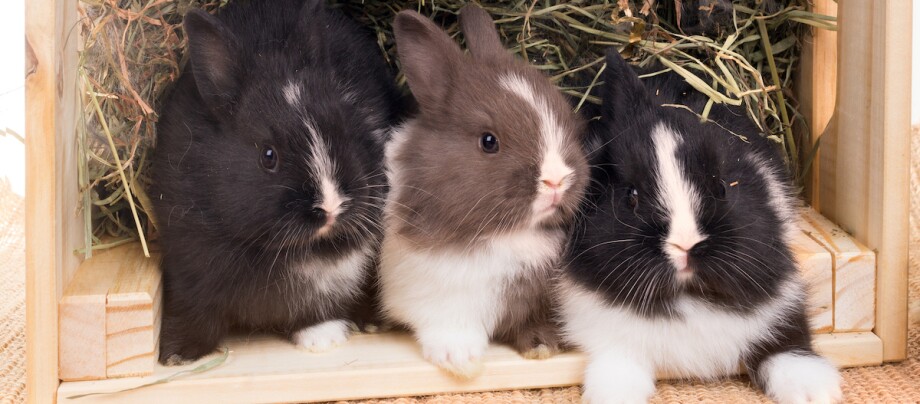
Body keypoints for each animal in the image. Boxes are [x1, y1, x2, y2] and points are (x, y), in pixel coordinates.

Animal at [149, 0, 401, 364]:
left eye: (343, 130)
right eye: (268, 156)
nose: (331, 207)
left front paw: (322, 338)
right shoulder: (188, 272)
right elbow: (196, 311)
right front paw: (176, 355)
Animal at [377, 5, 589, 379]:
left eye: (569, 123)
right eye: (489, 141)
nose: (557, 180)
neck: (508, 235)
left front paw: (542, 346)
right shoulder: (434, 291)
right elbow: (449, 323)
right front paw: (459, 359)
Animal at [559, 49, 842, 404]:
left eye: (721, 187)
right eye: (631, 195)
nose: (685, 244)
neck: (688, 296)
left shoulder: (779, 310)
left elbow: (786, 345)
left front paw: (815, 391)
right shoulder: (610, 338)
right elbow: (618, 369)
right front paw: (615, 396)